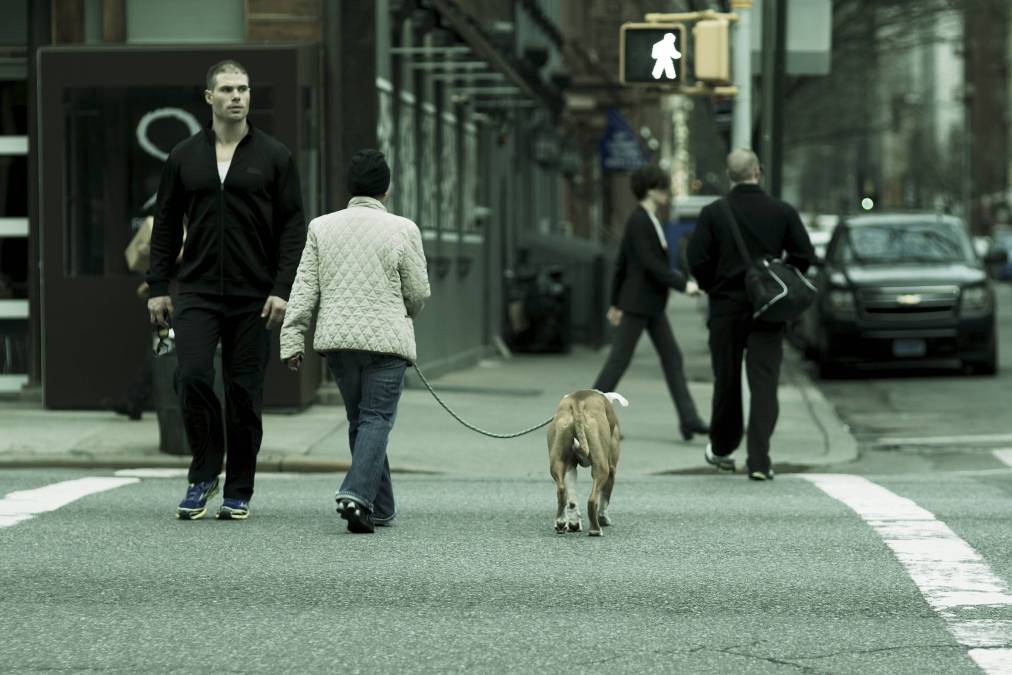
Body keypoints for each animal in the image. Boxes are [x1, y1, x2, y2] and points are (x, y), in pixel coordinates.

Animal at [547, 389, 626, 537]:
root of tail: (577, 402)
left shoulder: (571, 466)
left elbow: (572, 499)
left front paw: (573, 523)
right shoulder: (612, 468)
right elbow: (605, 497)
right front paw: (603, 518)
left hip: (557, 460)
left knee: (562, 491)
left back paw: (561, 522)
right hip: (602, 468)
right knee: (592, 499)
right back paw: (595, 529)